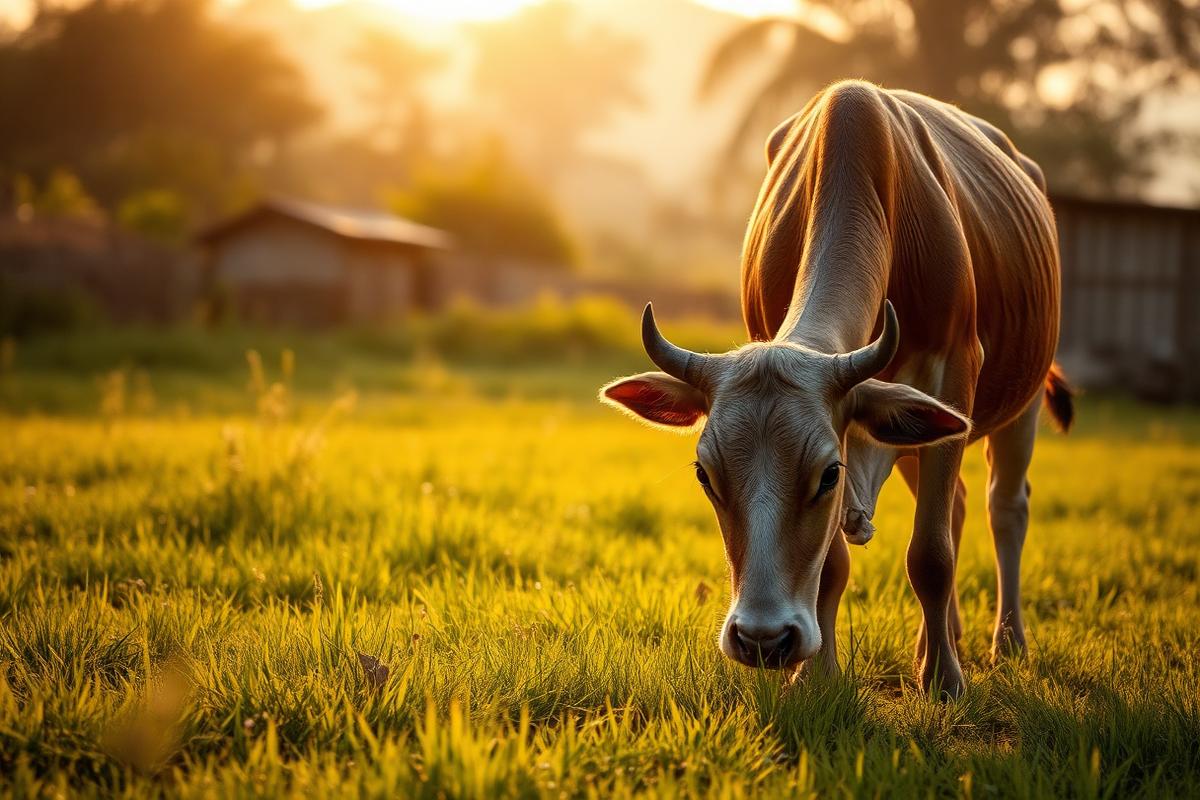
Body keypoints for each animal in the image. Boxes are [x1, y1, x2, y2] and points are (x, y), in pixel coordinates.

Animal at [600, 80, 1073, 698]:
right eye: (705, 474)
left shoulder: (952, 371)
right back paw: (942, 638)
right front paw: (816, 675)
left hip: (1020, 401)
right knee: (958, 504)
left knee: (1005, 507)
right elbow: (833, 563)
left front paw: (944, 680)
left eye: (827, 475)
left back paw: (1006, 641)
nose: (763, 638)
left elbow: (931, 554)